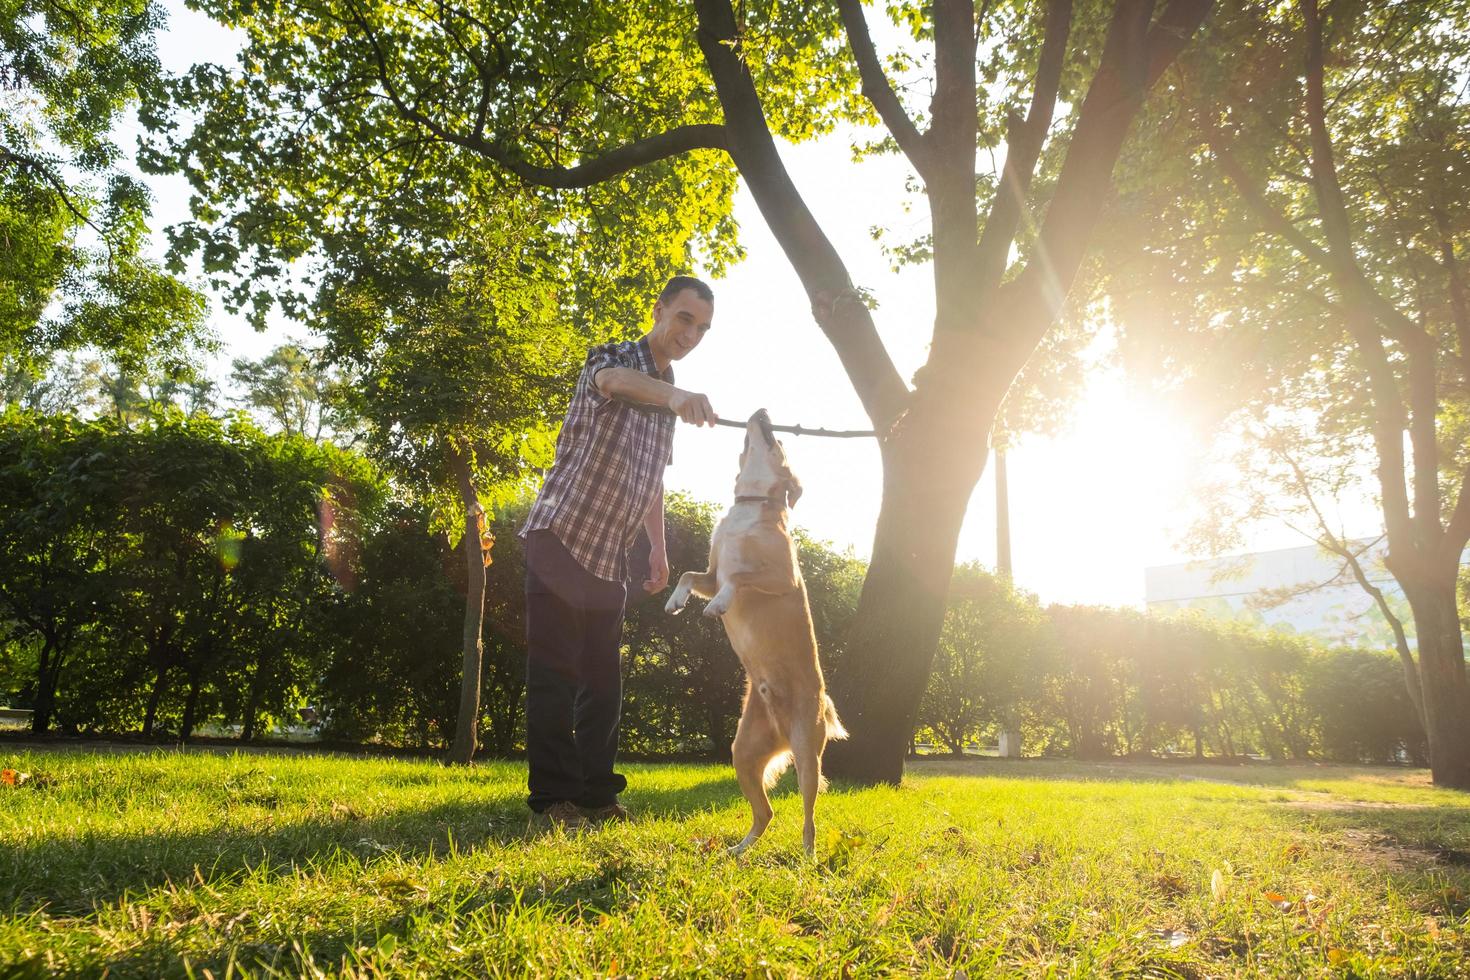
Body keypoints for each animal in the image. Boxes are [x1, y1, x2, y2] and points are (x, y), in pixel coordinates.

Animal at [664, 411, 846, 852]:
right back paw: (739, 850)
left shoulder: (781, 577)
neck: (748, 506)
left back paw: (808, 855)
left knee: (808, 817)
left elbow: (740, 577)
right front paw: (675, 600)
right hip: (742, 753)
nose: (762, 411)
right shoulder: (710, 574)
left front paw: (718, 606)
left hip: (807, 757)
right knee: (766, 813)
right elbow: (689, 573)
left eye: (778, 441)